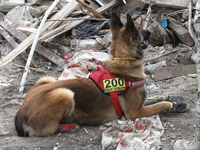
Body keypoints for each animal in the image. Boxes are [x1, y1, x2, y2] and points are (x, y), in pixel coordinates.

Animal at [15, 13, 175, 137]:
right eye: (140, 29)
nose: (150, 32)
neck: (123, 60)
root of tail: (20, 114)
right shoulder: (135, 112)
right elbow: (159, 105)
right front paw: (170, 104)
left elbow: (155, 99)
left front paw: (172, 98)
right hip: (64, 93)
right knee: (53, 128)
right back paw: (70, 126)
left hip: (46, 79)